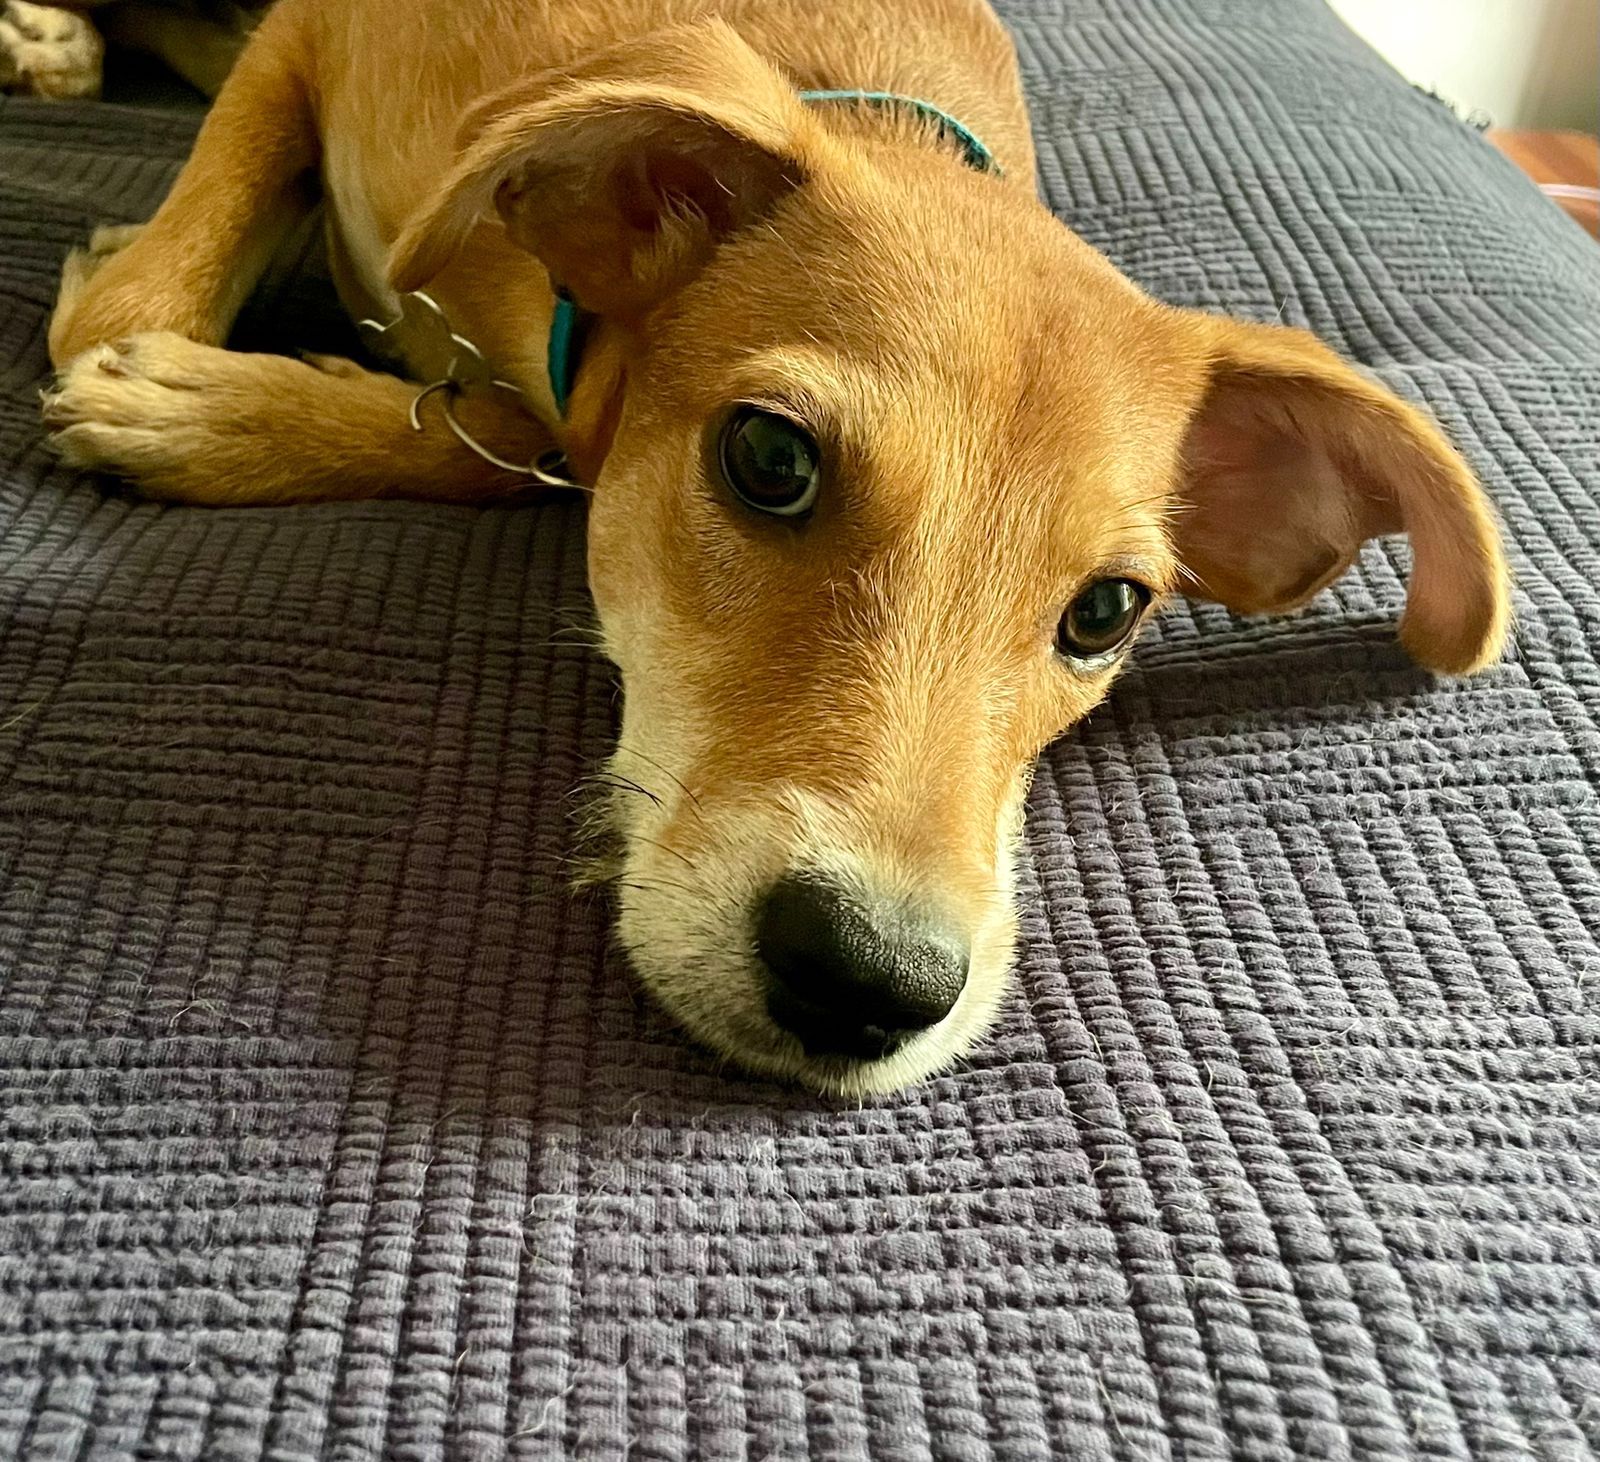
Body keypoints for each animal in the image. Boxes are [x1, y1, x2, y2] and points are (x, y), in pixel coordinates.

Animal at [37, 0, 1510, 1094]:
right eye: (769, 459)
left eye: (1105, 610)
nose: (869, 983)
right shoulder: (312, 33)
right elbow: (136, 293)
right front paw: (183, 385)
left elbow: (488, 436)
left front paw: (222, 405)